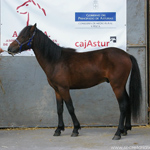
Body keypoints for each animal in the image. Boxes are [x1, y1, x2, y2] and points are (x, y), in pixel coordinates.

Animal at [8, 23, 142, 139]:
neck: (55, 60)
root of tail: (126, 55)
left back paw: (118, 133)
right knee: (128, 102)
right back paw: (125, 130)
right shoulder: (57, 90)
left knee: (123, 105)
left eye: (24, 36)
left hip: (117, 86)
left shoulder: (64, 89)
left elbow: (70, 107)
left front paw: (75, 129)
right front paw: (58, 129)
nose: (10, 48)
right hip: (121, 86)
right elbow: (59, 109)